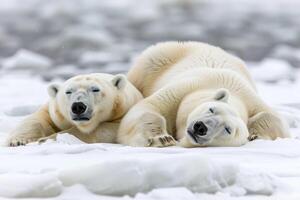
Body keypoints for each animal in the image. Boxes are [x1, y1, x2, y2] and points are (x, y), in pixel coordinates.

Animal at [6, 72, 143, 146]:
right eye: (68, 91)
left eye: (95, 89)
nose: (78, 106)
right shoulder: (54, 112)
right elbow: (36, 119)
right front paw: (18, 141)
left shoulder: (123, 113)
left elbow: (100, 131)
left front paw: (45, 140)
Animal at [116, 41, 290, 147]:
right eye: (211, 109)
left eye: (227, 129)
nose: (201, 127)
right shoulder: (186, 89)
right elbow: (149, 108)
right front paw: (162, 139)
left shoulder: (252, 100)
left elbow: (273, 119)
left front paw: (256, 136)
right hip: (158, 60)